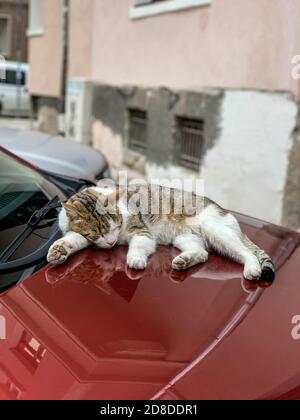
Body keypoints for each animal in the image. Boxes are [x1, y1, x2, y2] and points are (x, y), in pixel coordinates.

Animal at [47, 184, 276, 282]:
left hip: (218, 232)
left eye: (114, 227)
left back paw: (252, 269)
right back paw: (184, 260)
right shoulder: (80, 234)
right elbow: (74, 239)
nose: (111, 243)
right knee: (203, 253)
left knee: (248, 253)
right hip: (185, 238)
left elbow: (139, 245)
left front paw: (136, 259)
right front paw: (59, 250)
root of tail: (225, 211)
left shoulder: (141, 230)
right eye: (98, 233)